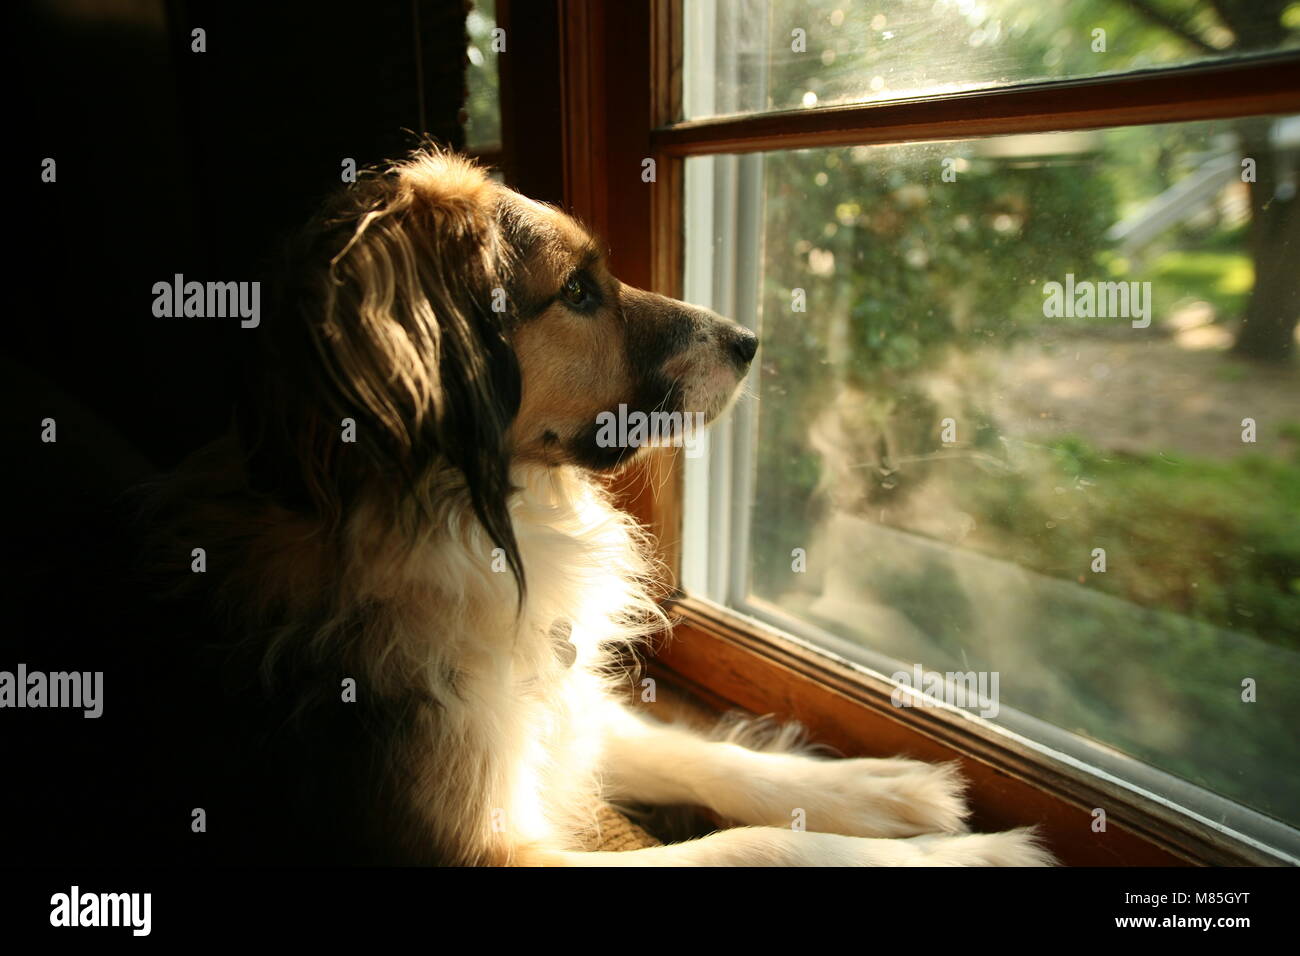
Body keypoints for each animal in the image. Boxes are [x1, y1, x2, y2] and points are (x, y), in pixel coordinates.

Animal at [126, 147, 1050, 868]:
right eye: (575, 291)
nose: (750, 341)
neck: (462, 518)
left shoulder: (554, 707)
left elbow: (702, 754)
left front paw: (883, 789)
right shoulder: (486, 841)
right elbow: (750, 844)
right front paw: (967, 856)